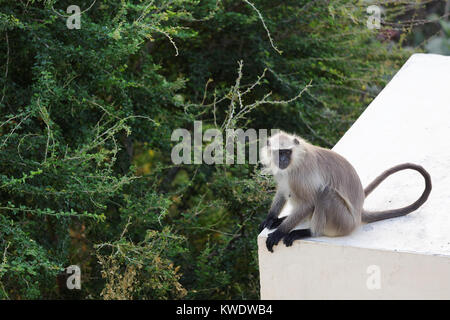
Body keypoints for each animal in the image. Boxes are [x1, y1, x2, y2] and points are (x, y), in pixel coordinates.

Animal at [260, 130, 432, 252]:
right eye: (279, 152)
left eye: (286, 152)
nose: (283, 160)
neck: (295, 160)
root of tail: (358, 215)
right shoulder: (283, 172)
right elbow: (283, 191)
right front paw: (270, 219)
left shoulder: (301, 172)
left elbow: (308, 202)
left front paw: (279, 232)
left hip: (343, 221)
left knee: (325, 193)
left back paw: (310, 232)